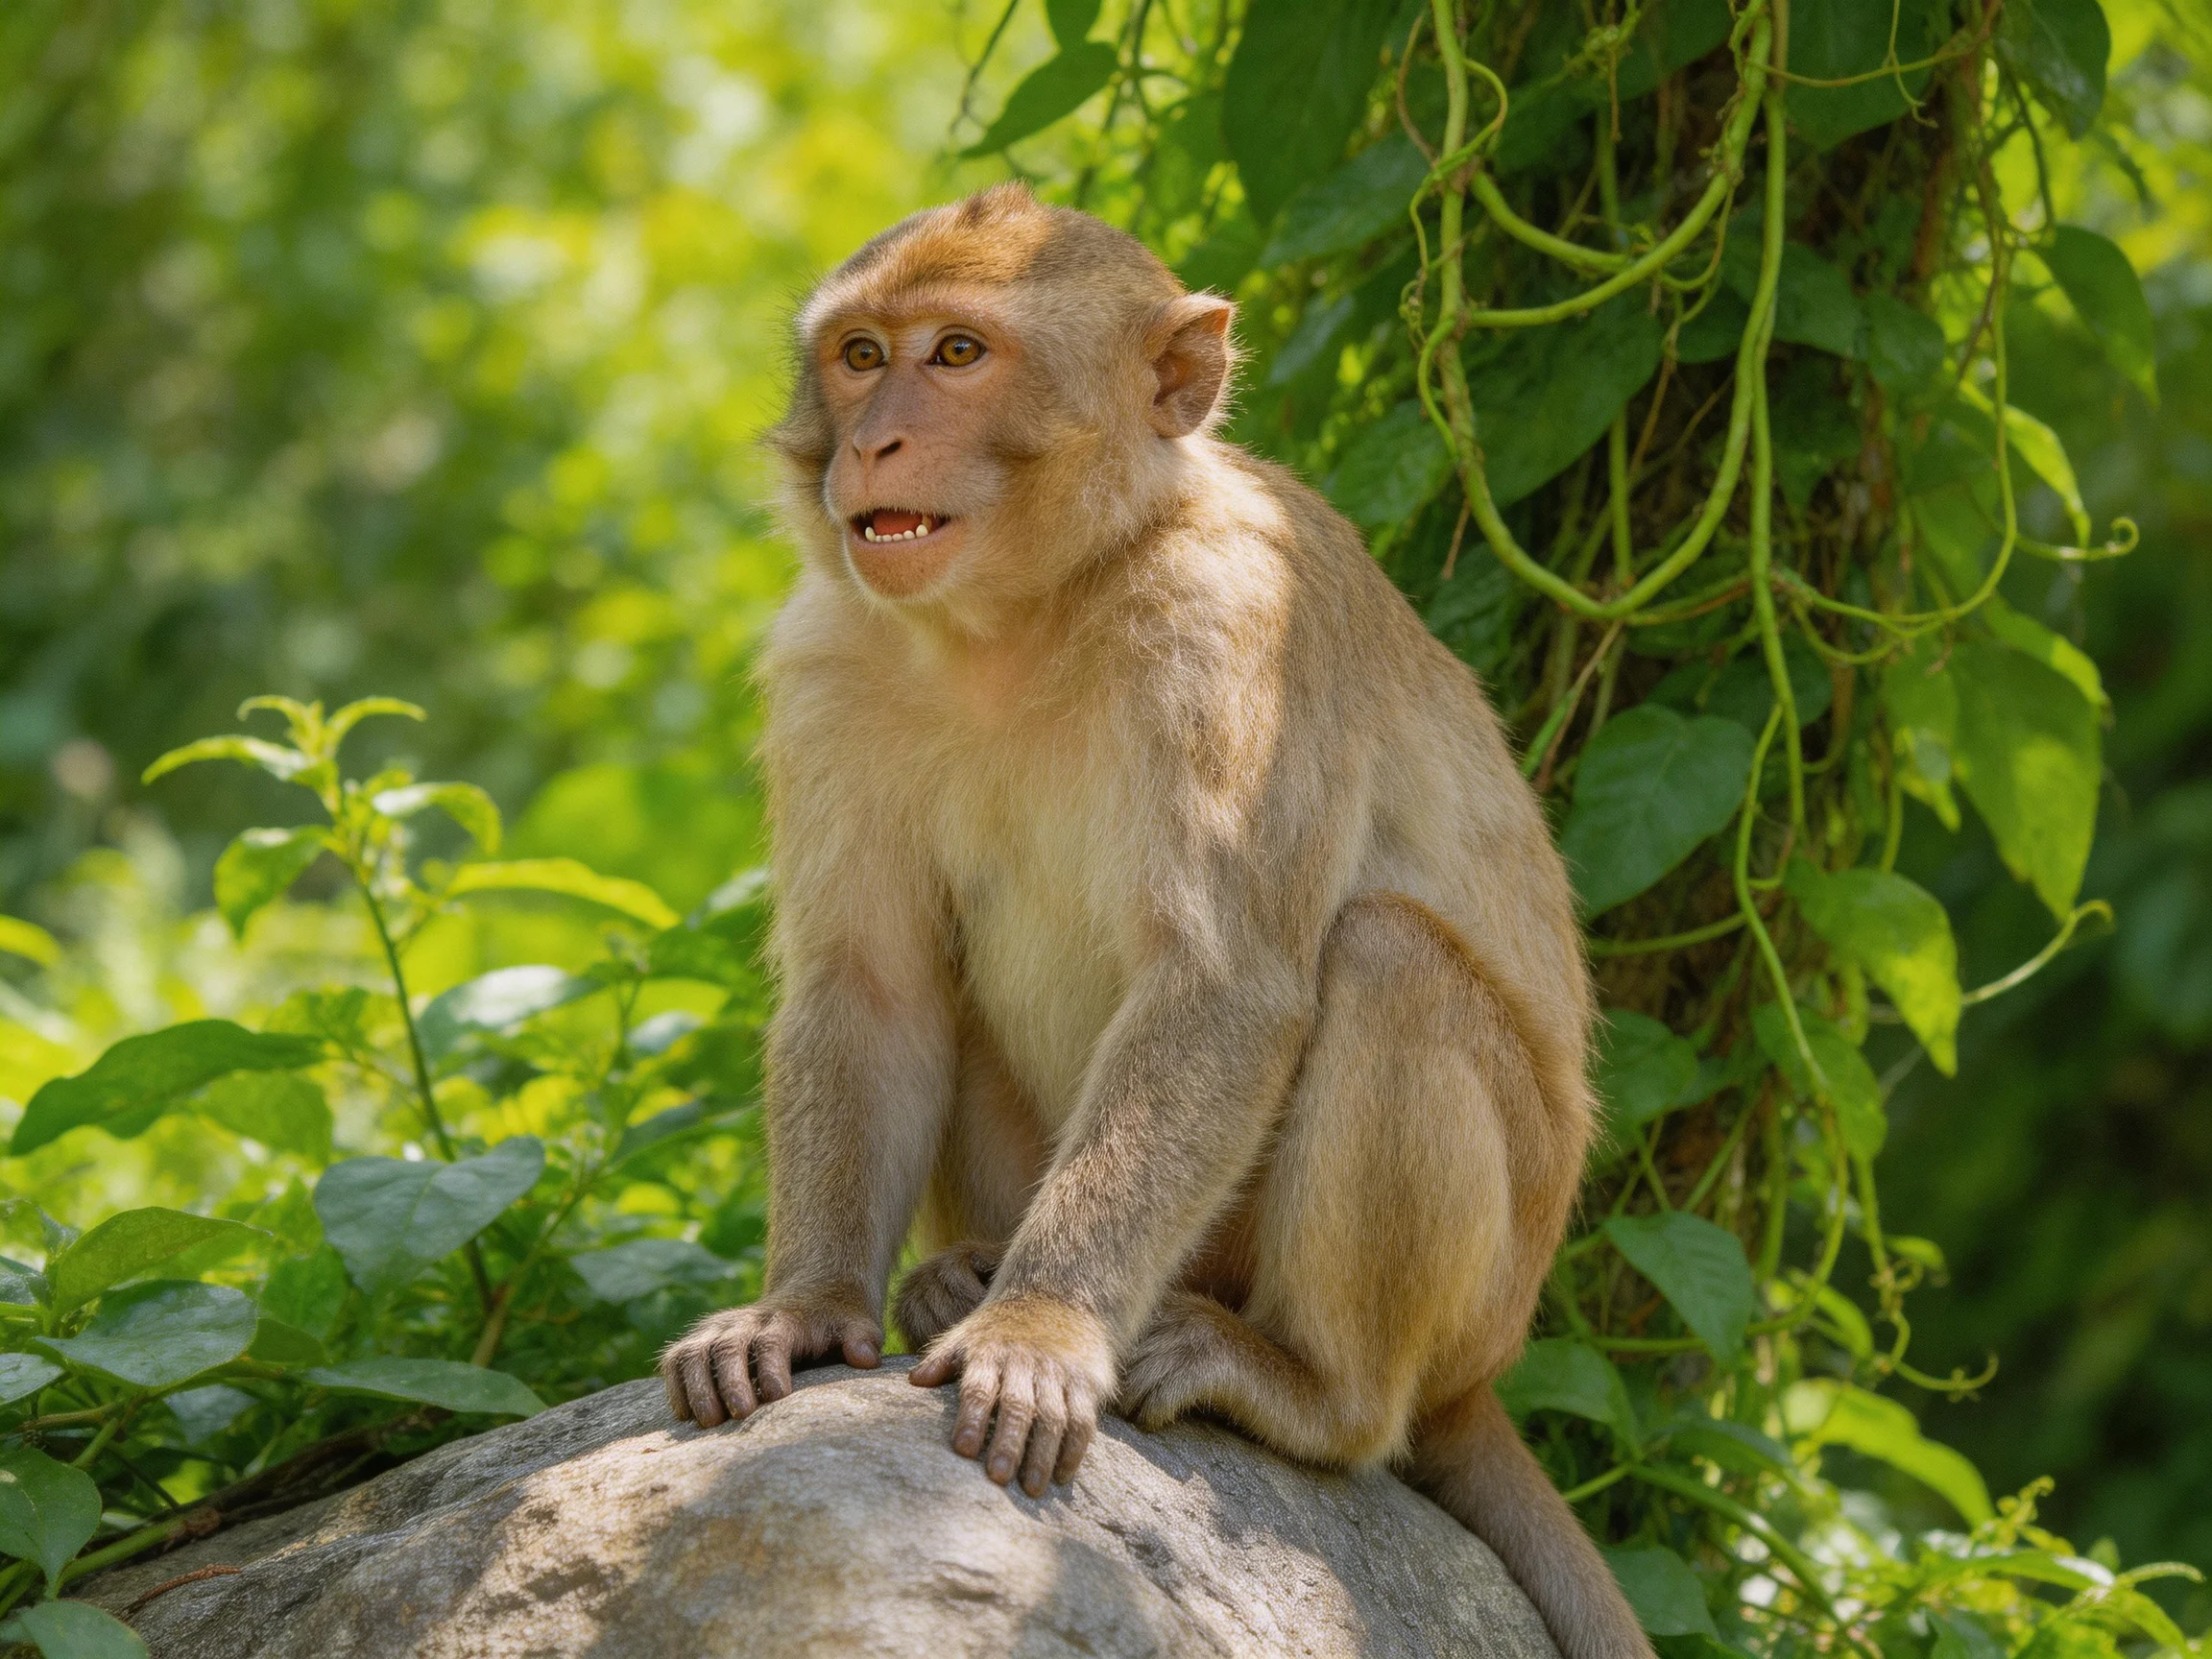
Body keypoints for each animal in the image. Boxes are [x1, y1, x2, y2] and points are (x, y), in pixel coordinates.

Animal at [659, 183, 1651, 1659]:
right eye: (860, 355)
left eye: (958, 354)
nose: (875, 435)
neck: (1026, 612)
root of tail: (1486, 1373)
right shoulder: (830, 655)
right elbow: (871, 989)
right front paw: (807, 1308)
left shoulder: (1232, 627)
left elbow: (1222, 988)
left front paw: (1039, 1329)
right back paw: (954, 1276)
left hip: (1480, 1290)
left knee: (1387, 962)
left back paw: (1309, 1389)